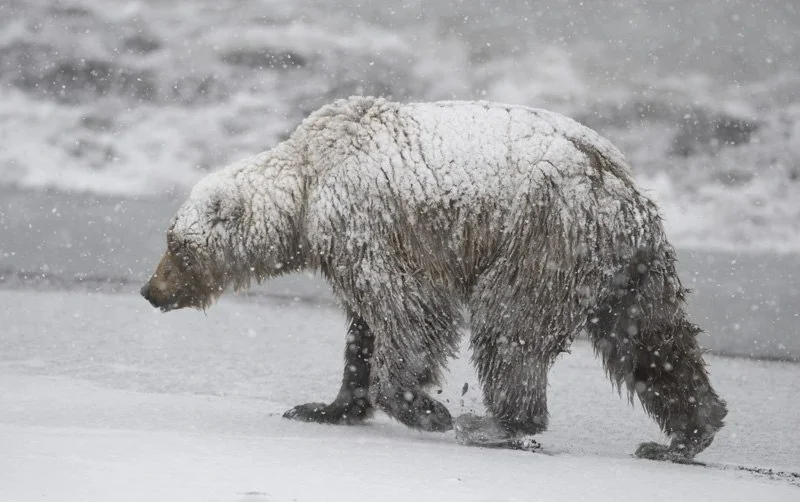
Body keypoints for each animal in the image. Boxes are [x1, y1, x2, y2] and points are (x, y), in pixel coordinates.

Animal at [141, 96, 727, 462]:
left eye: (175, 245)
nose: (150, 290)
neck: (306, 190)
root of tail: (619, 186)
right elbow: (364, 330)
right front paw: (323, 406)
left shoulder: (367, 223)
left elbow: (408, 311)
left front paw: (428, 408)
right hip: (630, 267)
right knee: (652, 340)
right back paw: (686, 434)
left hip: (542, 239)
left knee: (508, 327)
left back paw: (495, 423)